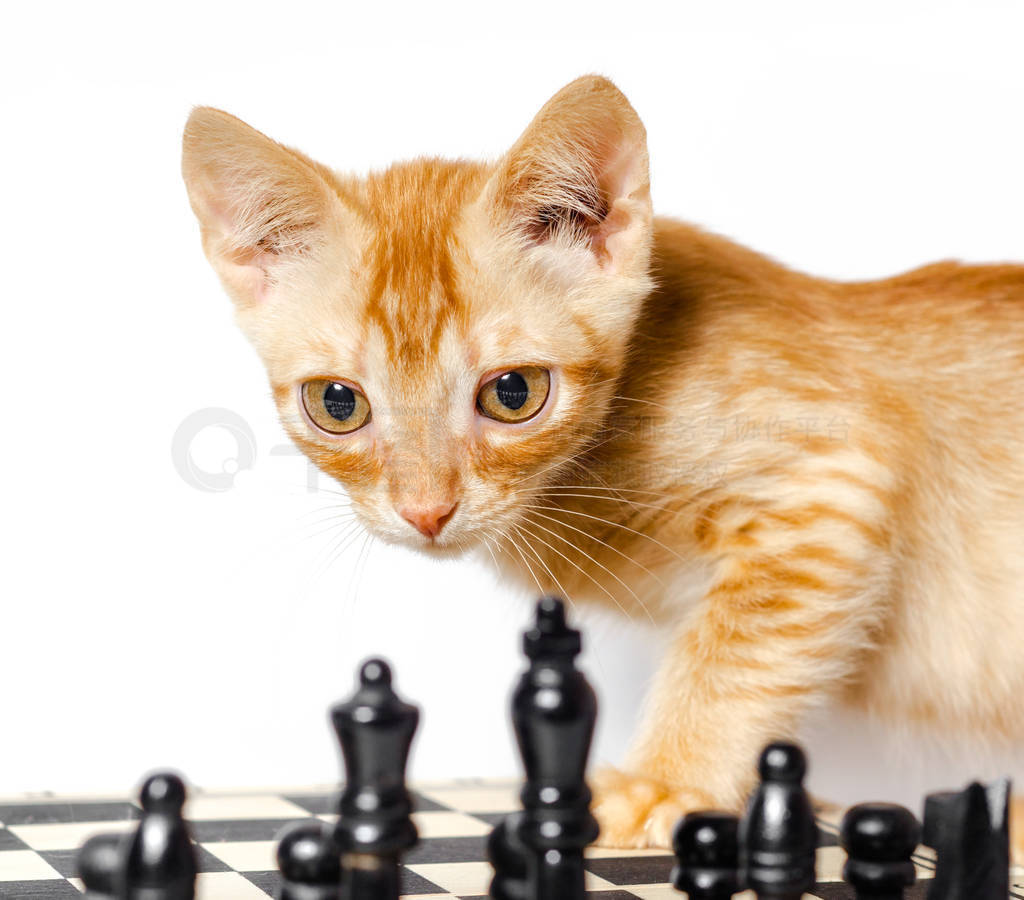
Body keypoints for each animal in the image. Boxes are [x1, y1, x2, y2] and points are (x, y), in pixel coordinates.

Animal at [182, 75, 1024, 851]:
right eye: (337, 404)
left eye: (514, 393)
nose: (426, 512)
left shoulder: (832, 481)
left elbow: (733, 652)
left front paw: (668, 780)